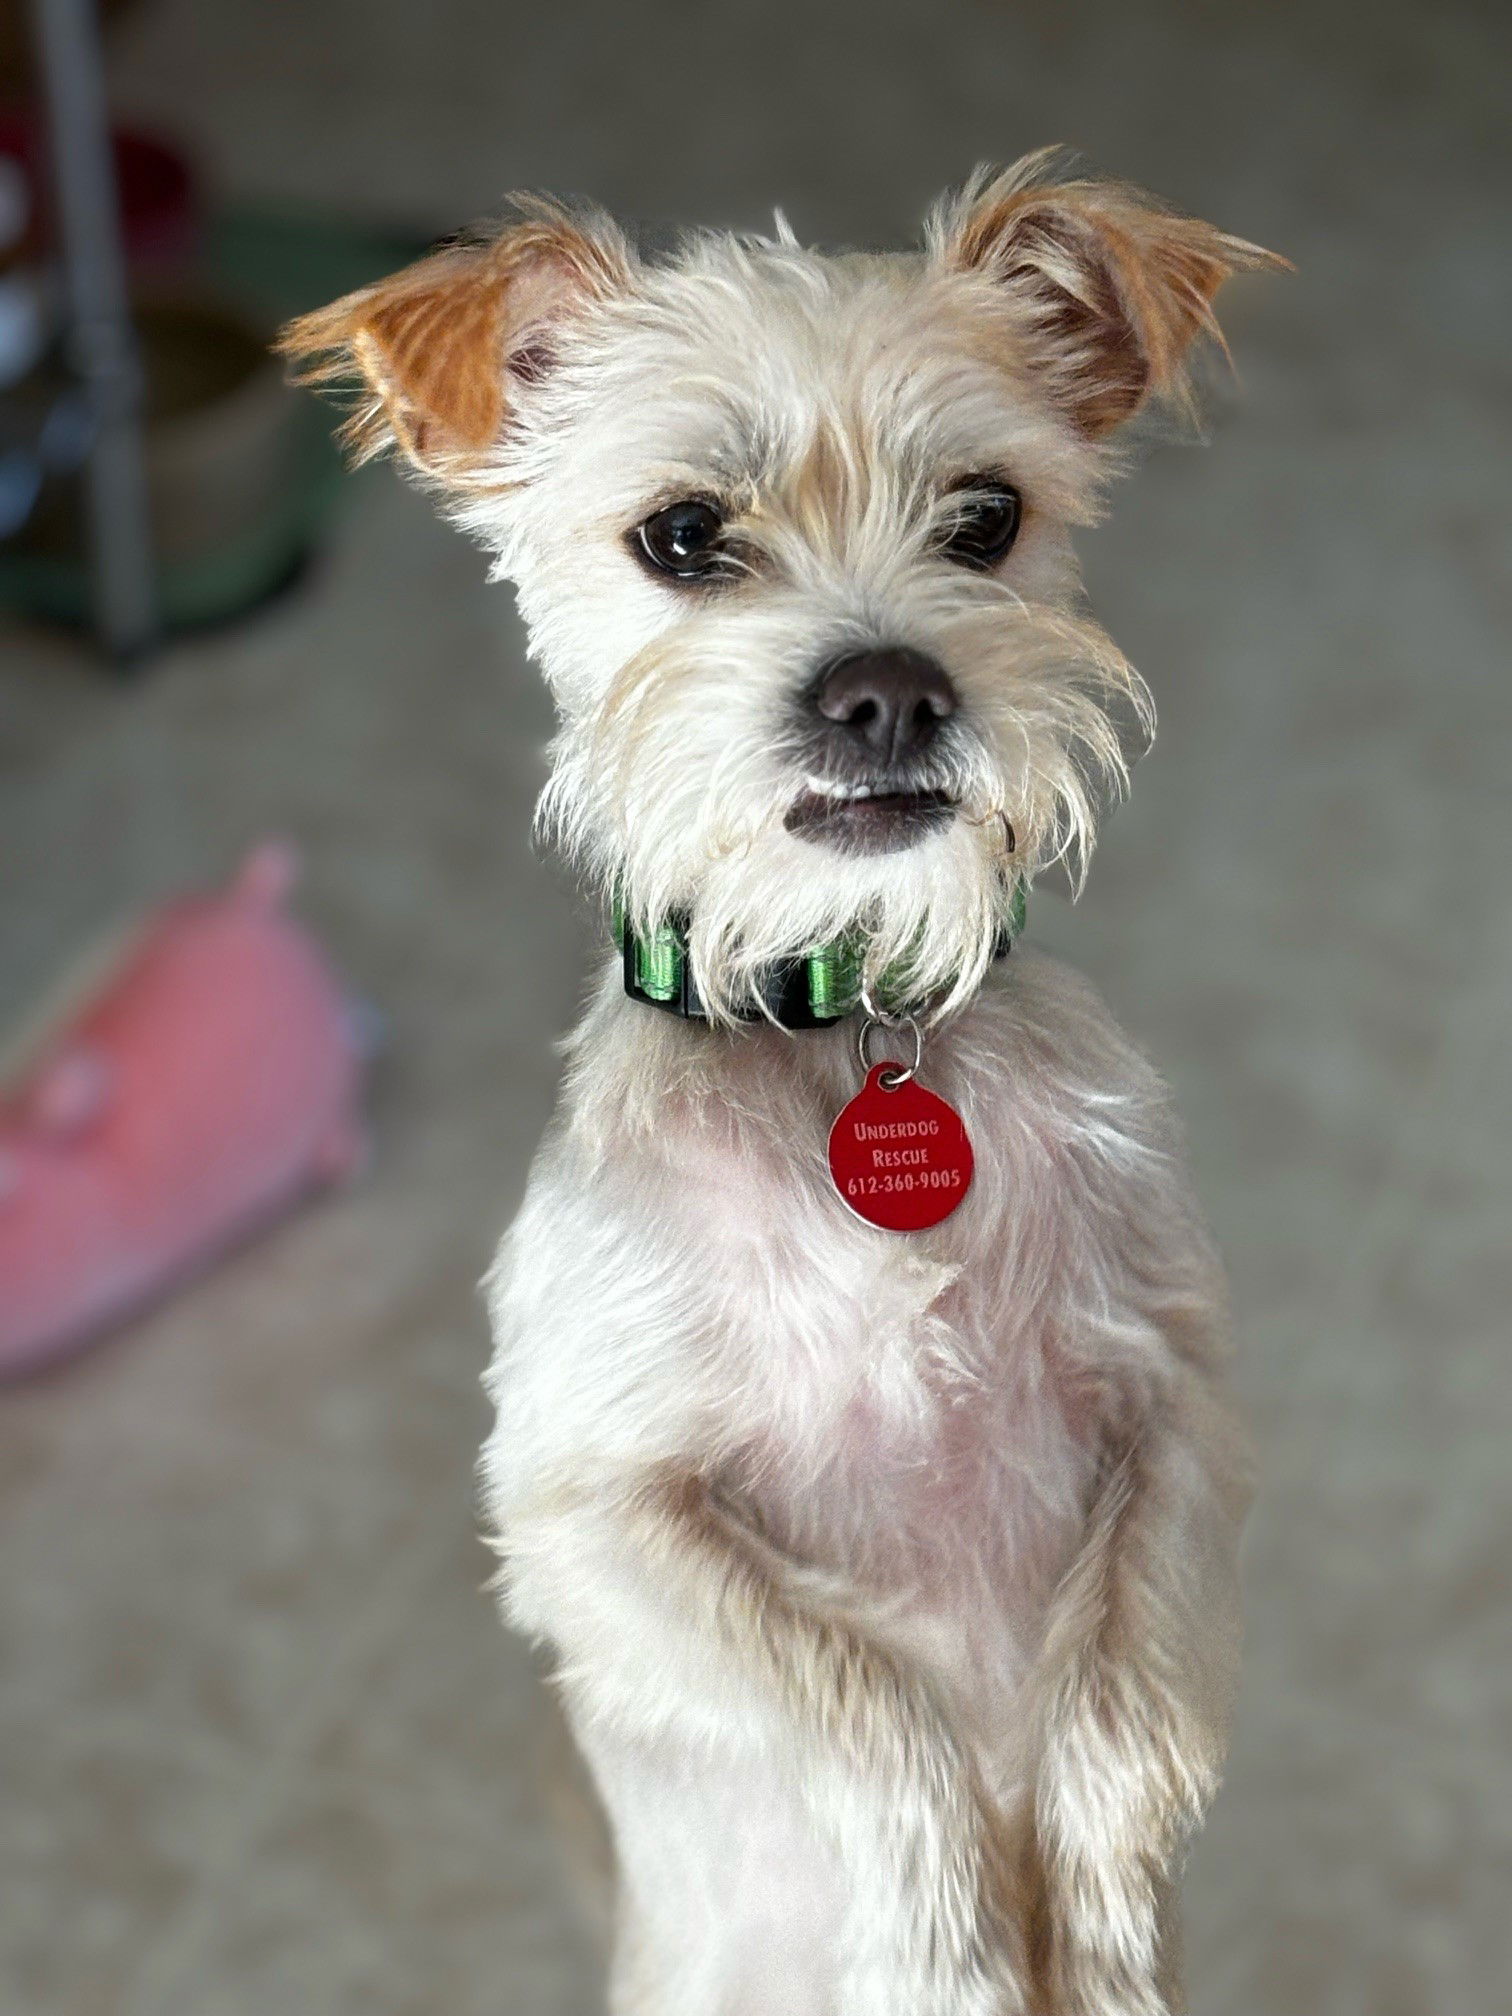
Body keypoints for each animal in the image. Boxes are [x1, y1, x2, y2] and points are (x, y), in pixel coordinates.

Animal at [282, 153, 1282, 2016]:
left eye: (985, 518)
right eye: (684, 535)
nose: (889, 691)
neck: (841, 1022)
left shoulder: (1176, 1417)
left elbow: (1120, 1719)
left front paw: (1103, 1949)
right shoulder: (597, 1520)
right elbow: (867, 1713)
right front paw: (957, 1951)